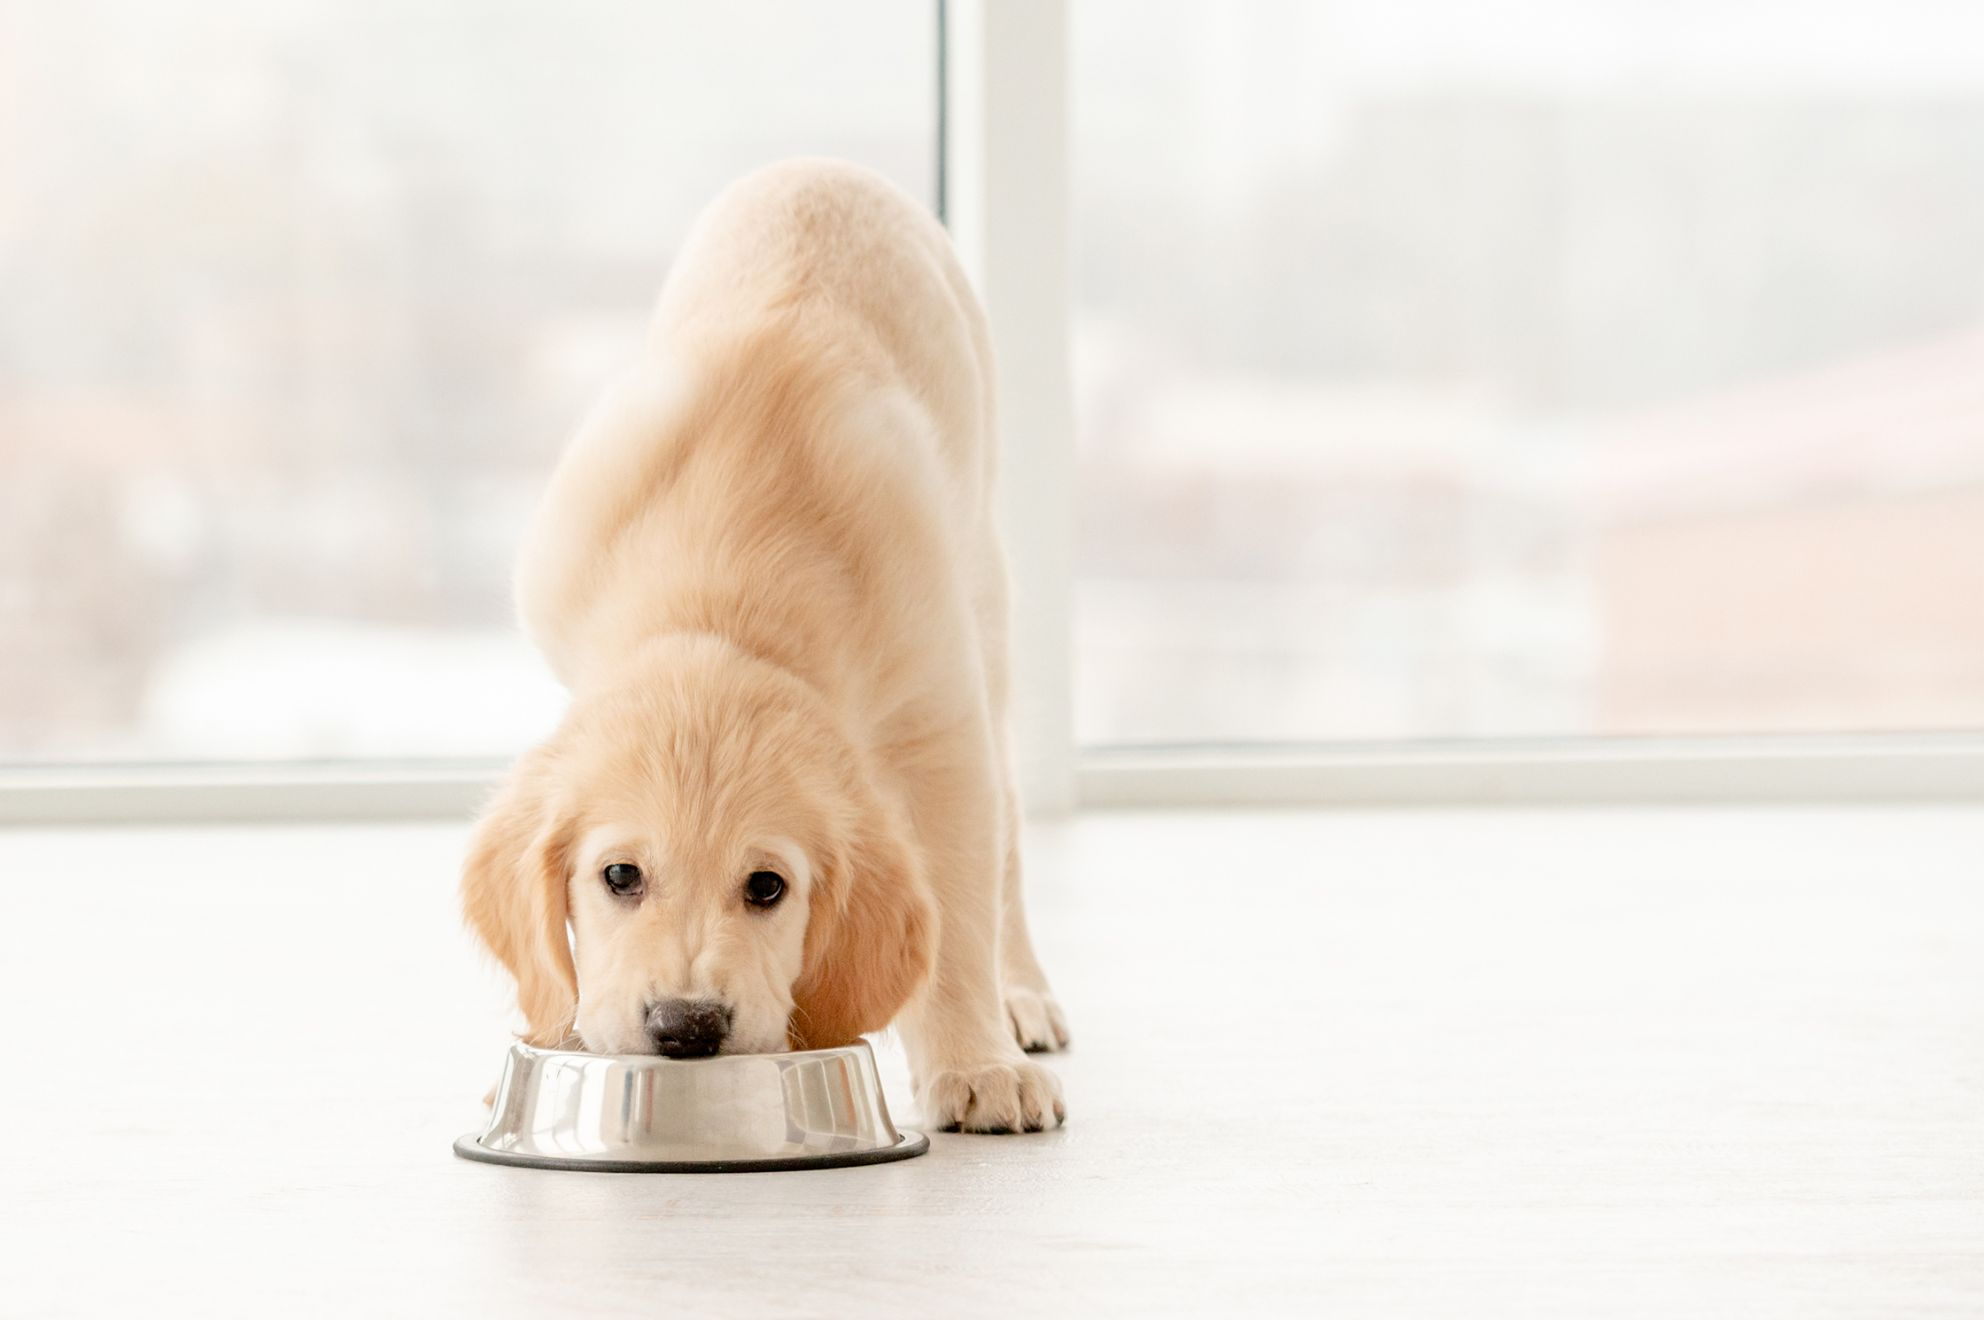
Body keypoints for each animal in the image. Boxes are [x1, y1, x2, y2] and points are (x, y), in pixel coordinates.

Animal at [458, 156, 1071, 1135]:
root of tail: (822, 164)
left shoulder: (937, 718)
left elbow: (960, 903)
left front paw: (977, 1061)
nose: (686, 1027)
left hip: (983, 591)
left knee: (1007, 829)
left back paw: (1019, 996)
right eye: (620, 876)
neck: (724, 597)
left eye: (767, 887)